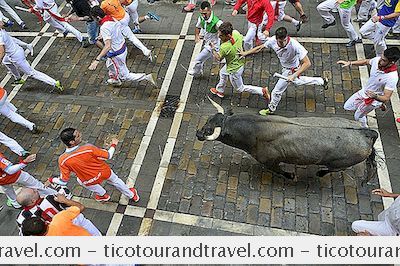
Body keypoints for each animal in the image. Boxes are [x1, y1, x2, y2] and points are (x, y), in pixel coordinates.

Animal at [197, 98, 378, 181]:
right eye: (208, 121)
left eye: (209, 130)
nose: (198, 133)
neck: (256, 129)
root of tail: (367, 133)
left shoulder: (270, 161)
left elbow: (279, 170)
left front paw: (291, 176)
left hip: (340, 163)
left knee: (334, 169)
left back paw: (320, 172)